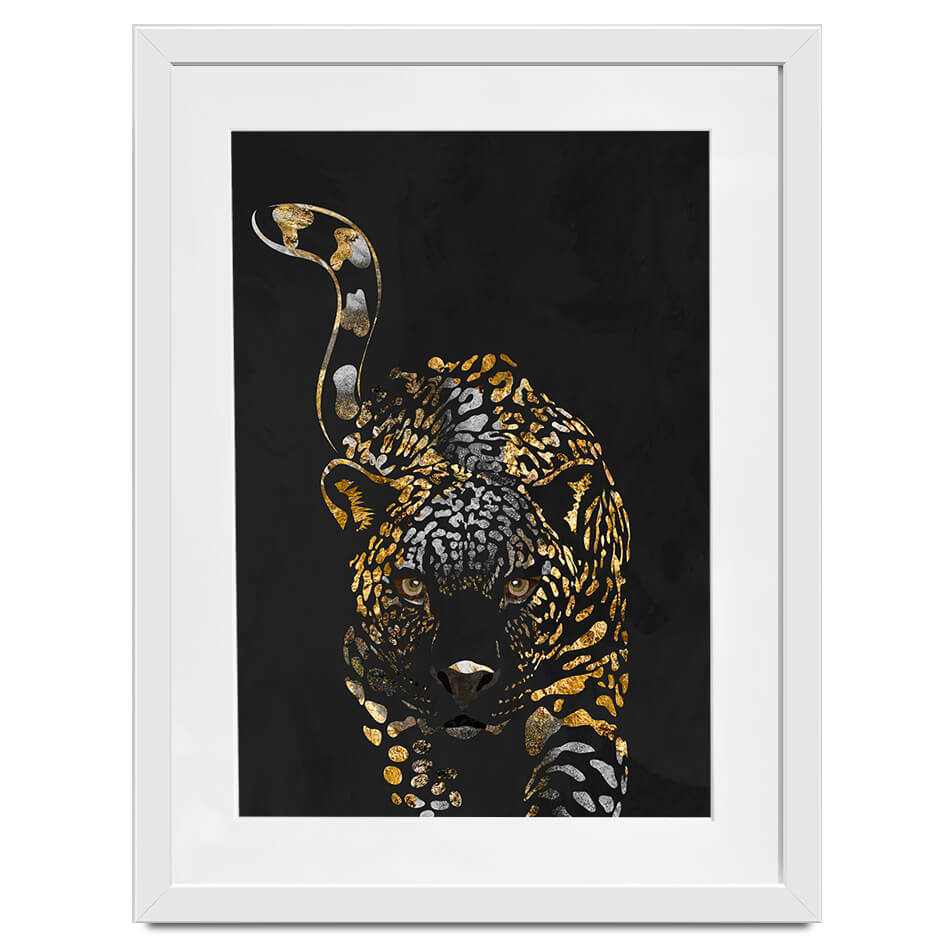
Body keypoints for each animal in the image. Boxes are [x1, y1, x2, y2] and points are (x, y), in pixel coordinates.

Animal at [252, 202, 632, 816]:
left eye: (519, 585)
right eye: (412, 586)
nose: (465, 677)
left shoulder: (589, 690)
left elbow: (575, 790)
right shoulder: (379, 691)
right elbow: (421, 783)